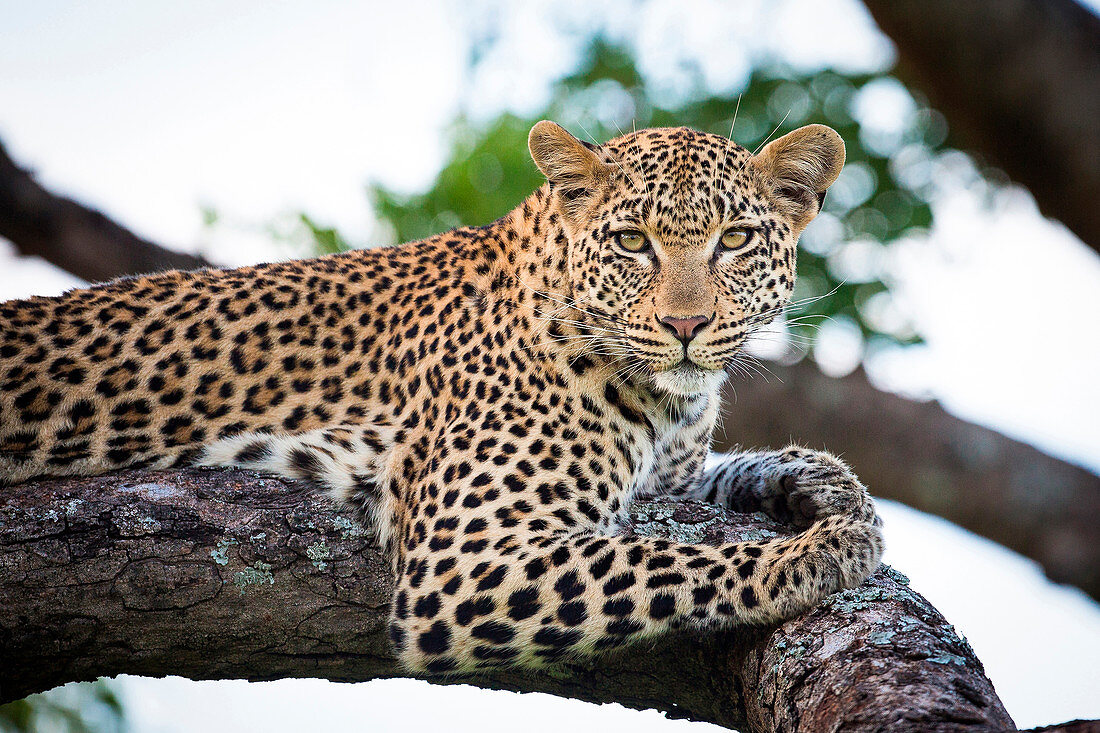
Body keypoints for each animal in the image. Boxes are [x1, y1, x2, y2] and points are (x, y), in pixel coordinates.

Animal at [0, 121, 880, 673]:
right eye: (633, 242)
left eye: (736, 239)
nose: (687, 324)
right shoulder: (467, 557)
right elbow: (672, 560)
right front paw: (820, 553)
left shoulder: (671, 469)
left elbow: (723, 475)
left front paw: (833, 489)